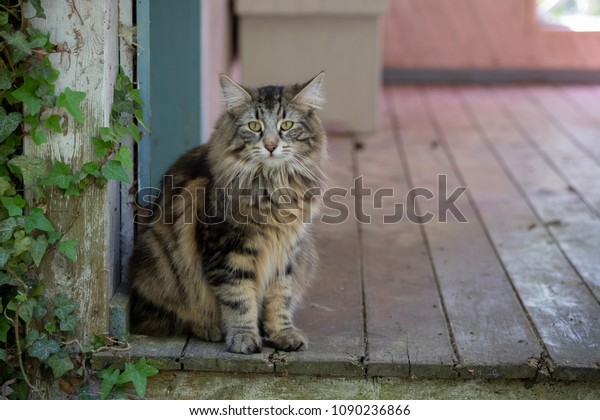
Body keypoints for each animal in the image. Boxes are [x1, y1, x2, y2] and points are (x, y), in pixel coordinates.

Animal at [124, 73, 326, 354]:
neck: (272, 186)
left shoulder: (287, 252)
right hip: (159, 259)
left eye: (286, 125)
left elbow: (280, 298)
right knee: (170, 316)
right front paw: (244, 338)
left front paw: (282, 333)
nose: (271, 145)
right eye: (254, 126)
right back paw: (210, 328)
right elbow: (239, 298)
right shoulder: (227, 249)